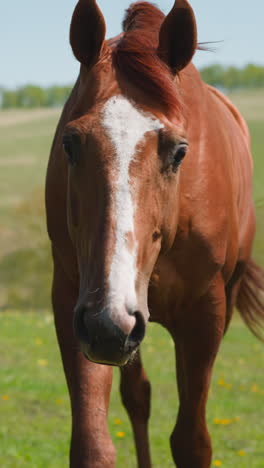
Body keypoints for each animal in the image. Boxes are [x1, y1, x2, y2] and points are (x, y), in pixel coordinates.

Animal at [45, 0, 264, 468]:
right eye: (70, 144)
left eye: (180, 151)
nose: (108, 324)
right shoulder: (77, 303)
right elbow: (93, 443)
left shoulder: (205, 312)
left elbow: (192, 441)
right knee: (138, 396)